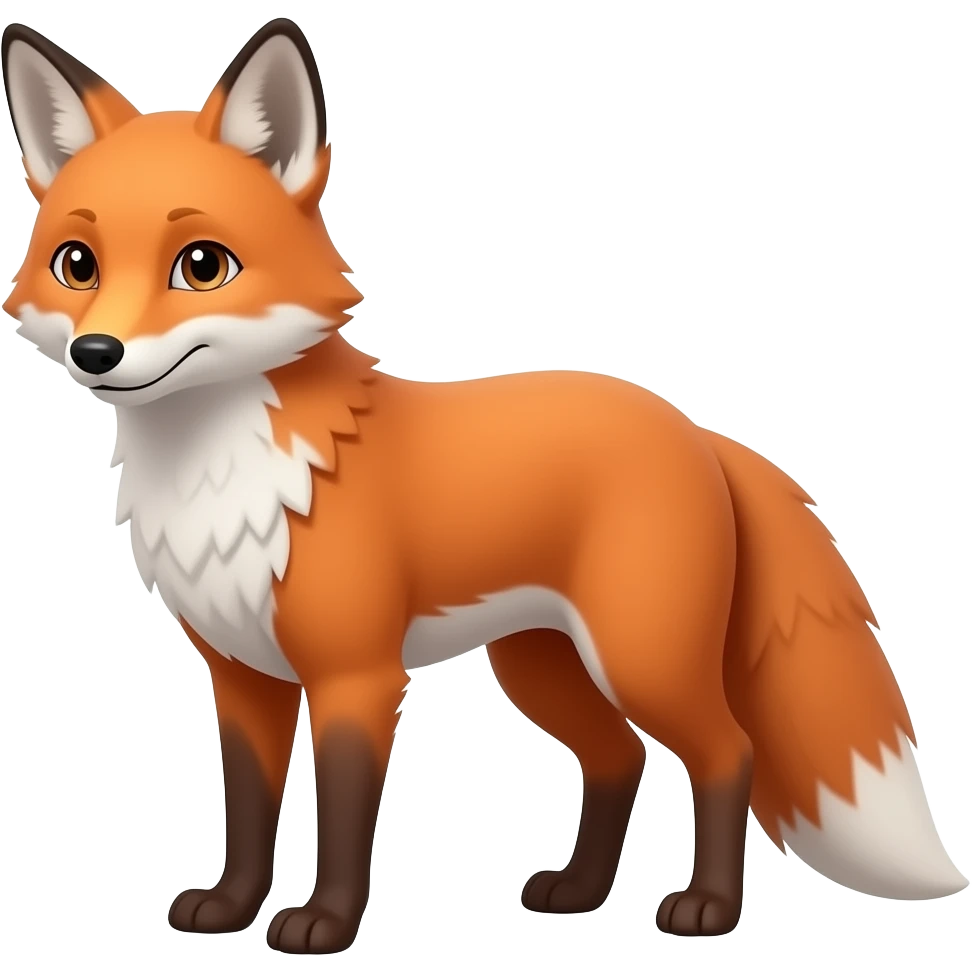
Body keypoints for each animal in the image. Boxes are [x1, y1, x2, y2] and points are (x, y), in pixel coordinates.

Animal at [2, 16, 967, 955]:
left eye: (203, 265)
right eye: (77, 264)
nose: (98, 353)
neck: (225, 471)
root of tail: (694, 430)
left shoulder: (358, 676)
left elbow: (342, 819)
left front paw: (324, 926)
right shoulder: (243, 677)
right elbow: (247, 813)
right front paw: (232, 908)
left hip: (641, 658)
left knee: (729, 751)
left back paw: (708, 909)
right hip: (541, 666)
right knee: (618, 759)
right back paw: (577, 894)